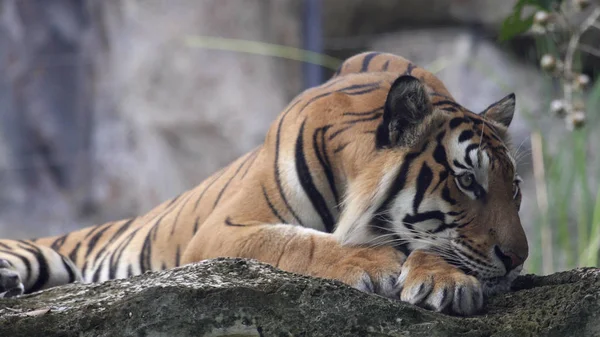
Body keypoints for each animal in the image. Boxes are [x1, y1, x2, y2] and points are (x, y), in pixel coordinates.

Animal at [0, 51, 524, 314]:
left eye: (515, 189)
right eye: (466, 181)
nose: (519, 259)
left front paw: (446, 282)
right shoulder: (223, 230)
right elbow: (296, 243)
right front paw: (371, 261)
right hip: (42, 257)